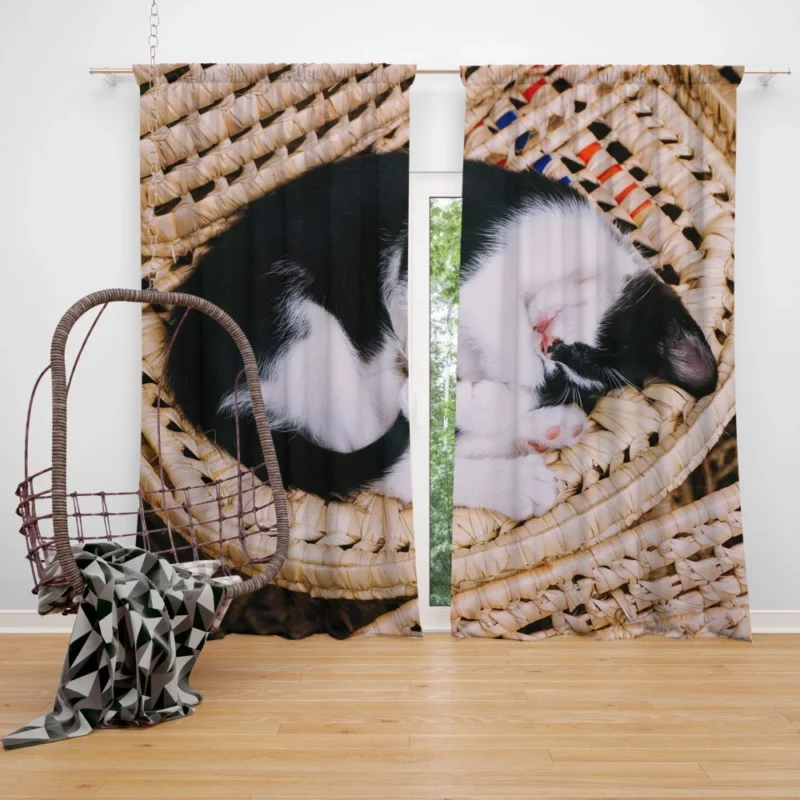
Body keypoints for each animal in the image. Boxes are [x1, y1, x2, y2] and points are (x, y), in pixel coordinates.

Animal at [166, 153, 716, 520]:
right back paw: (514, 472)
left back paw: (544, 432)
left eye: (584, 365)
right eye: (591, 352)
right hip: (298, 326)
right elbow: (506, 358)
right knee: (378, 449)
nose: (550, 346)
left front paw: (516, 401)